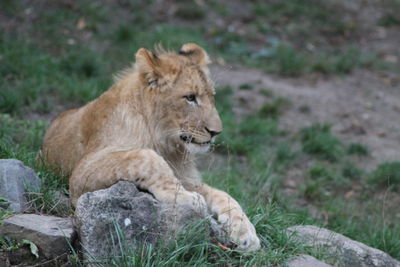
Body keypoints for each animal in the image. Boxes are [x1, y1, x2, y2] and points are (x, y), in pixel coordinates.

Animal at [40, 43, 260, 252]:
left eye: (211, 96)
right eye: (190, 97)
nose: (216, 132)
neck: (167, 143)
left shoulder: (185, 176)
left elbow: (223, 195)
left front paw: (246, 233)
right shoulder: (81, 172)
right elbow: (147, 157)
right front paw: (187, 198)